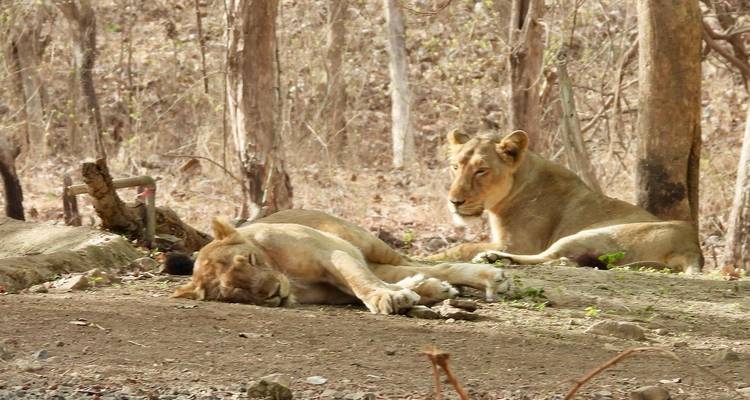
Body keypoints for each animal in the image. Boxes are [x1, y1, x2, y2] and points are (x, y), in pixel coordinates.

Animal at [172, 209, 509, 314]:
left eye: (252, 260)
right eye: (237, 291)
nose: (274, 292)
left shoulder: (332, 253)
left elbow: (361, 282)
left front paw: (388, 299)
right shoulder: (333, 289)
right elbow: (362, 286)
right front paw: (405, 294)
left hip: (365, 243)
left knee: (432, 265)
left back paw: (493, 278)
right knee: (418, 272)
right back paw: (433, 288)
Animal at [428, 130, 704, 274]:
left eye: (481, 170)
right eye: (455, 167)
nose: (454, 202)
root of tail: (693, 248)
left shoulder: (519, 244)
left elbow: (462, 247)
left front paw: (433, 257)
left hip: (589, 233)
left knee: (548, 257)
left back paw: (491, 258)